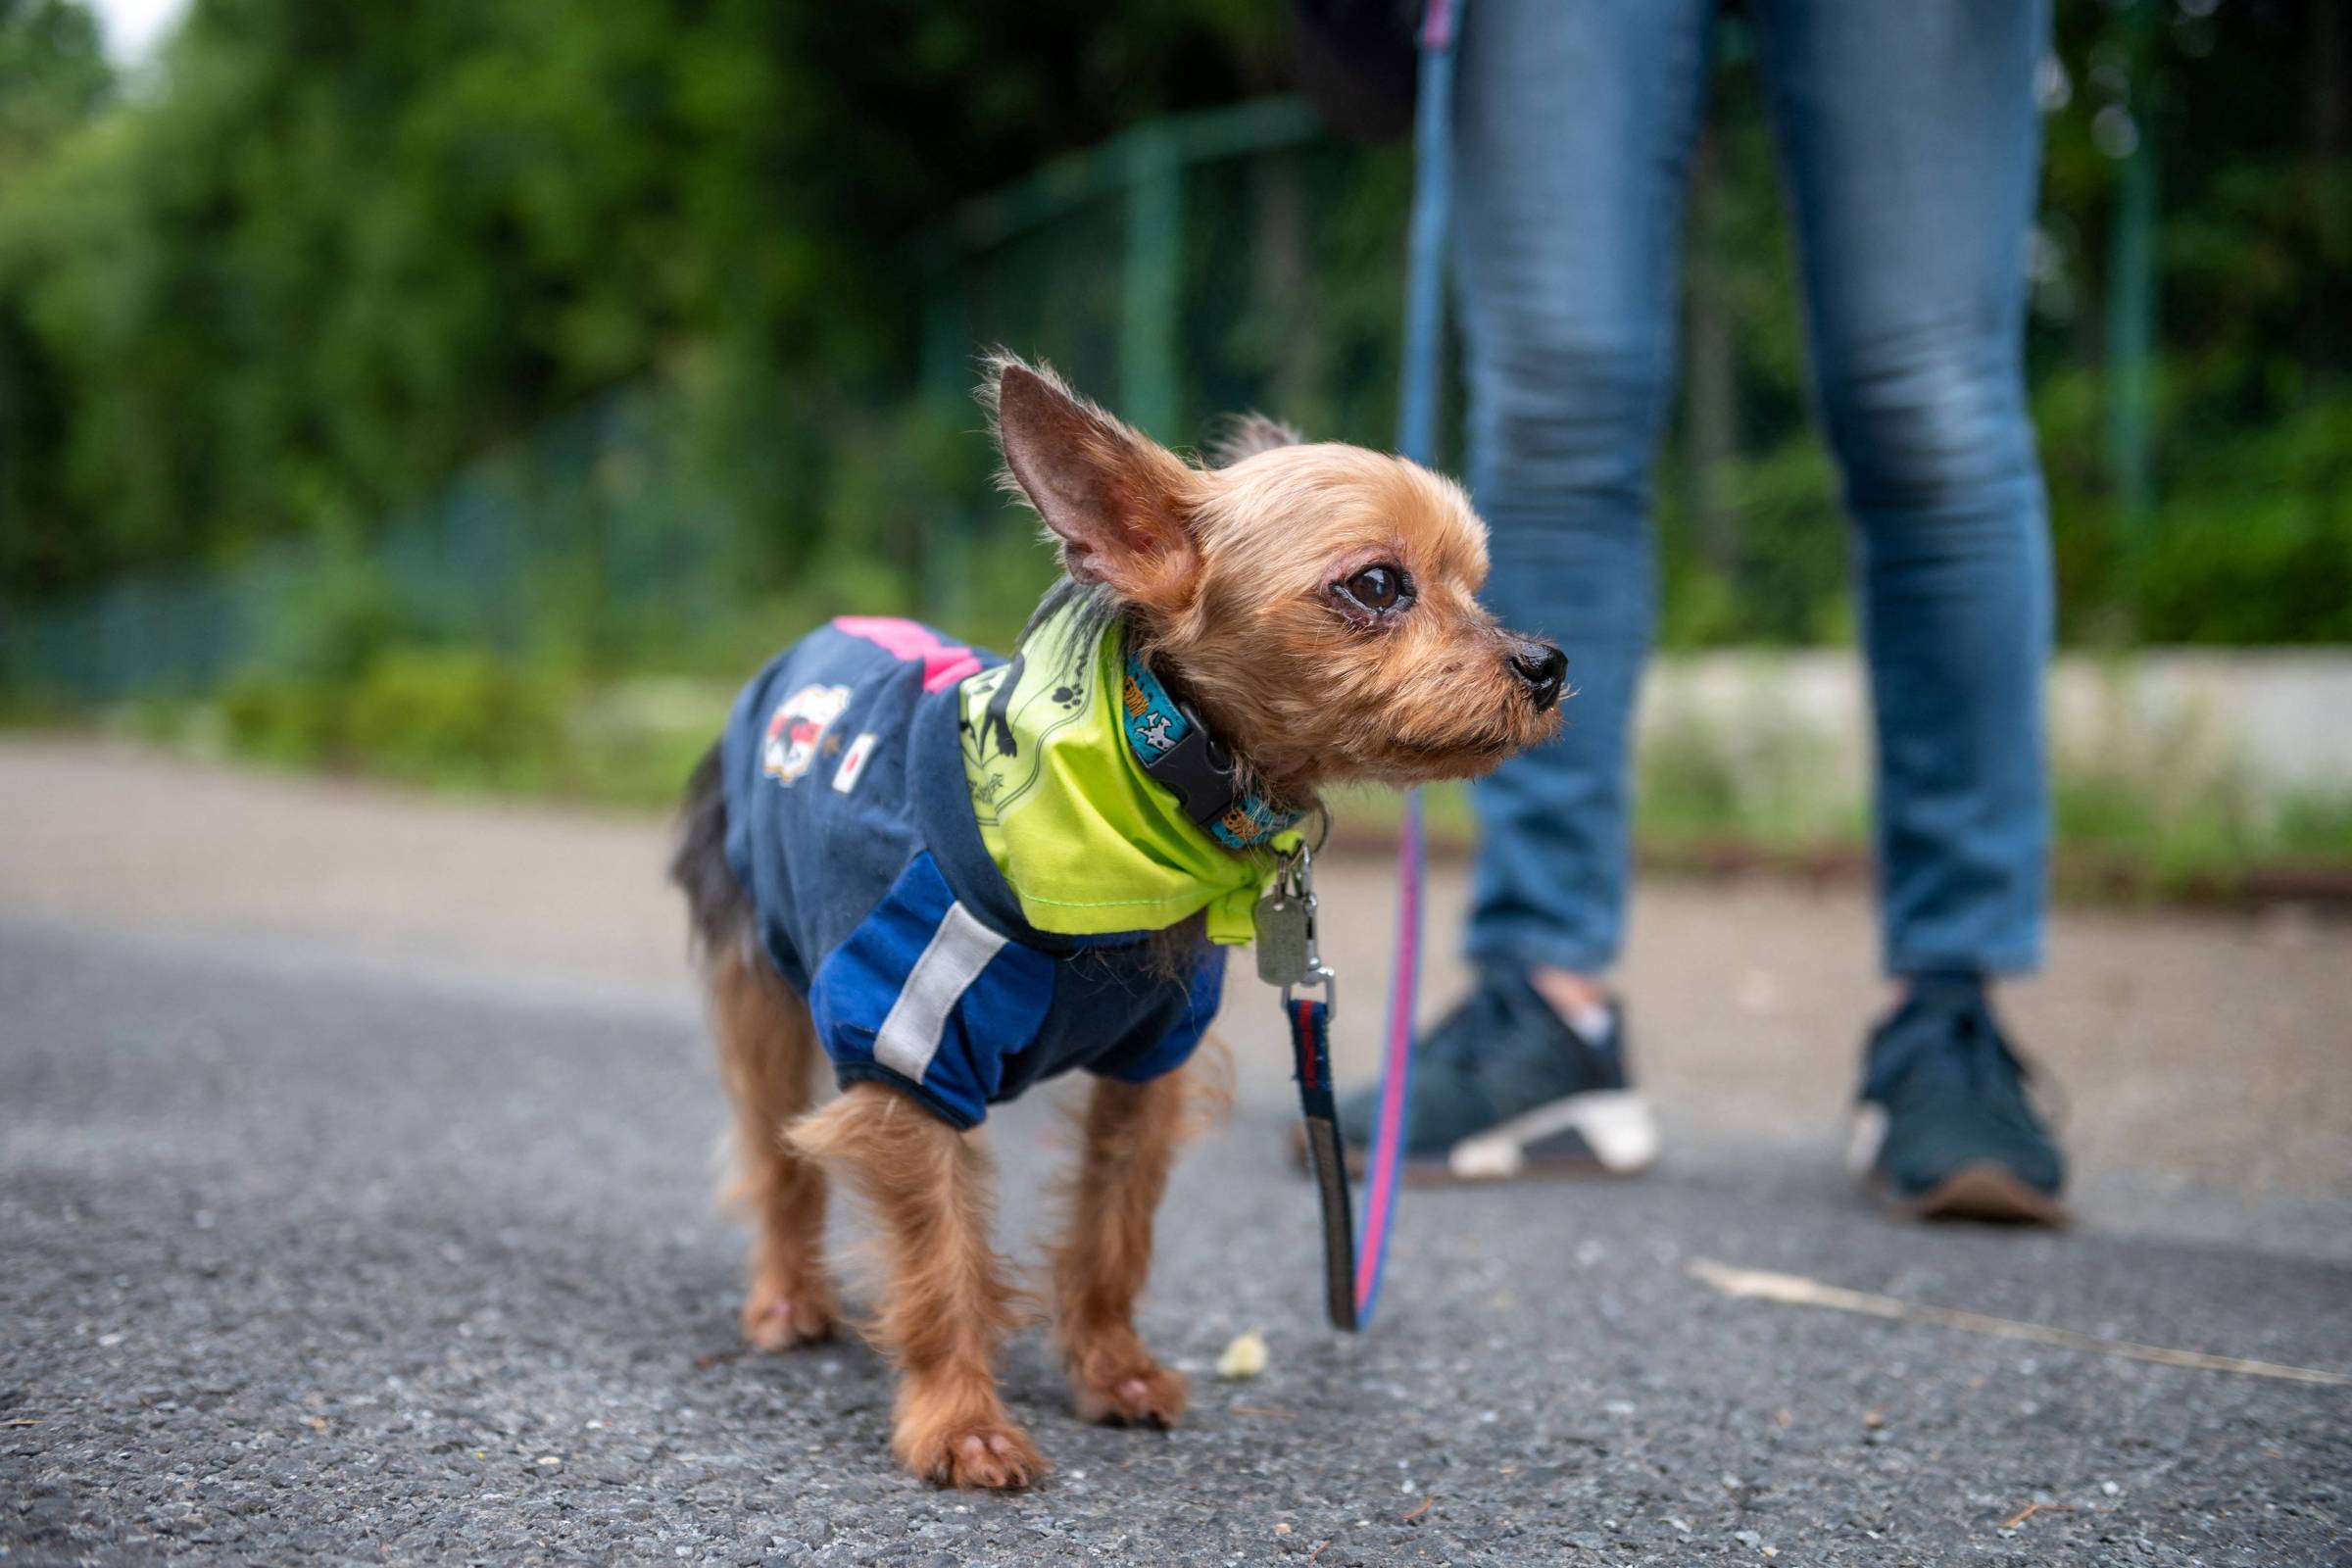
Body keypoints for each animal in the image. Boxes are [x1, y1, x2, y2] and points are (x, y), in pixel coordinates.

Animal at [667, 360, 1561, 1494]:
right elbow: (939, 1256)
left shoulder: (1148, 1067)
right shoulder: (909, 1046)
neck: (1144, 772)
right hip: (763, 976)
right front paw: (963, 1424)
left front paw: (1111, 1370)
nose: (1546, 662)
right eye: (1375, 586)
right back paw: (787, 1298)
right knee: (772, 1145)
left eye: (1475, 581)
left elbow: (1113, 1225)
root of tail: (814, 637)